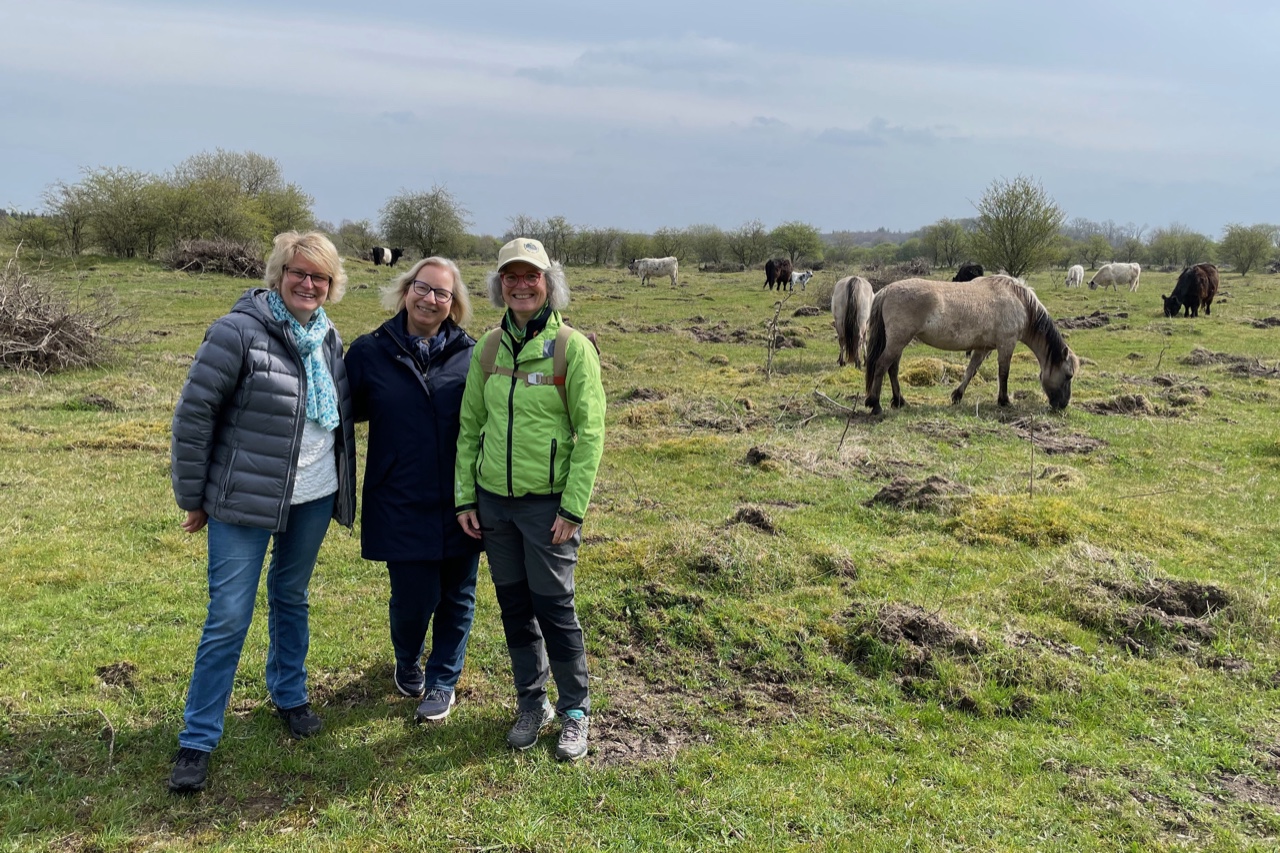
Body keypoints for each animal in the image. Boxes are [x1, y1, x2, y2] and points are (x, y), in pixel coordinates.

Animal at [860, 274, 1080, 412]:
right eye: (1068, 375)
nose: (1062, 405)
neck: (1020, 302)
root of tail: (886, 290)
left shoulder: (983, 348)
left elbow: (971, 371)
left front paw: (957, 396)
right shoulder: (1006, 344)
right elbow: (1004, 373)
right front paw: (1004, 401)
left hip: (898, 342)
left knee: (892, 369)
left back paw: (899, 401)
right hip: (898, 340)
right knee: (881, 366)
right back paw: (875, 404)